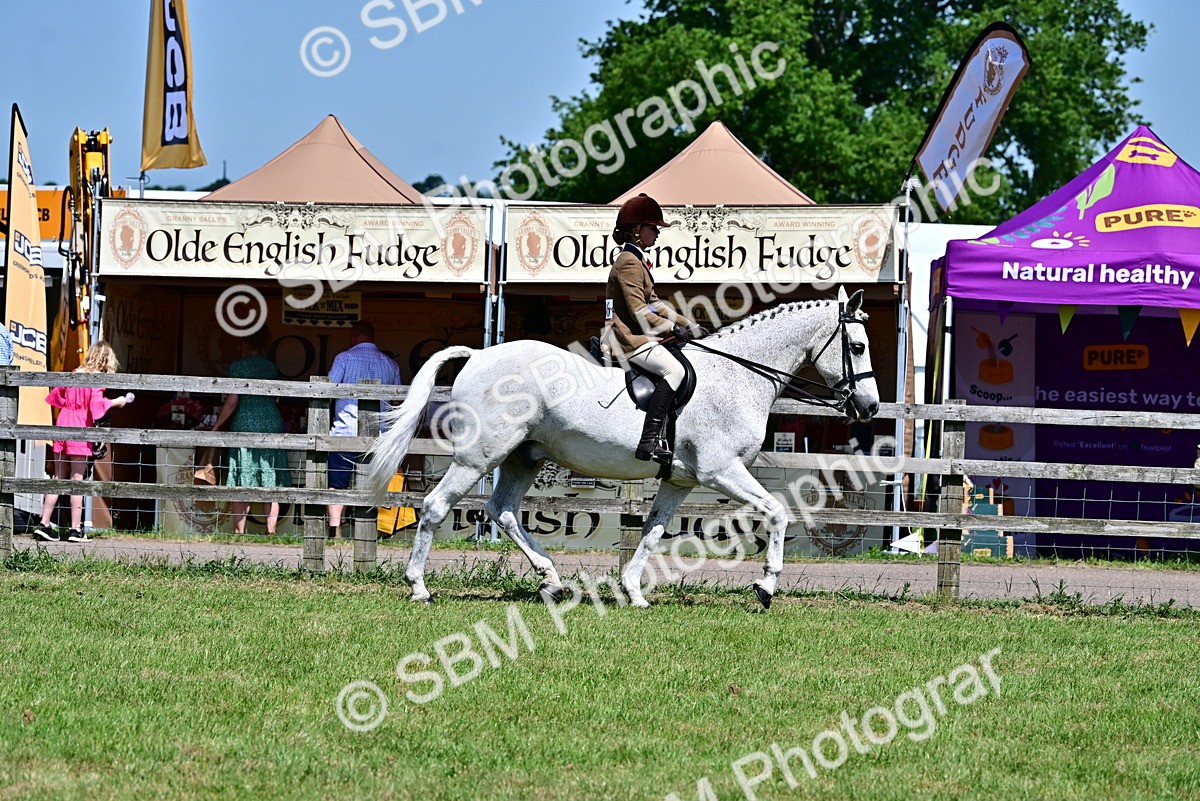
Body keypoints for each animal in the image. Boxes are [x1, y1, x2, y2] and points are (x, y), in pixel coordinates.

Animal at [364, 287, 880, 608]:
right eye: (856, 347)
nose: (870, 406)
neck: (738, 375)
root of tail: (478, 355)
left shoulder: (680, 480)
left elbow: (652, 531)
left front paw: (634, 592)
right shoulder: (721, 471)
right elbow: (776, 511)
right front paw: (766, 586)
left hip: (522, 457)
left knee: (503, 509)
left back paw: (552, 581)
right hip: (479, 456)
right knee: (435, 506)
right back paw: (419, 588)